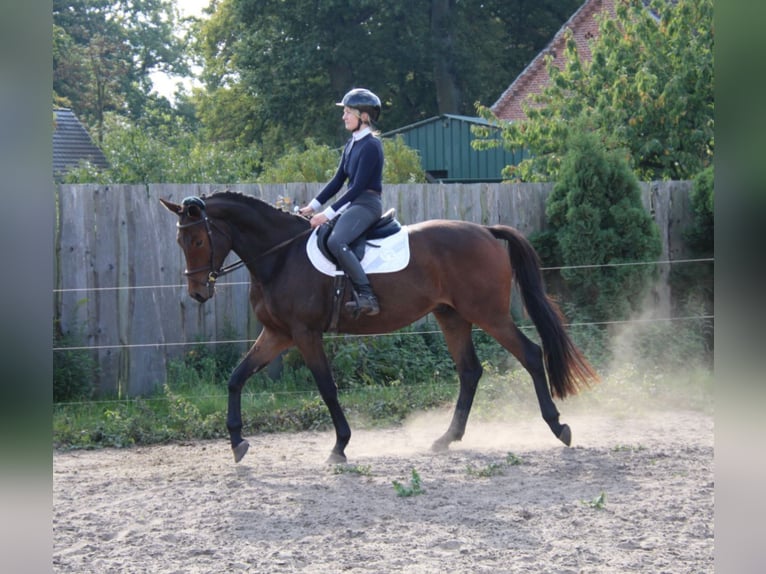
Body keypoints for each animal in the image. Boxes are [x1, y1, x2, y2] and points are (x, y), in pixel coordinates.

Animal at [160, 191, 598, 464]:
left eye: (197, 240)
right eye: (180, 242)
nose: (198, 292)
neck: (280, 256)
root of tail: (486, 231)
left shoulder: (304, 334)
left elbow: (327, 388)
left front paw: (339, 446)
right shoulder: (278, 334)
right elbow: (236, 378)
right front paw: (237, 442)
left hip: (488, 315)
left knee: (530, 355)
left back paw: (558, 427)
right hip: (451, 316)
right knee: (470, 372)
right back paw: (446, 439)